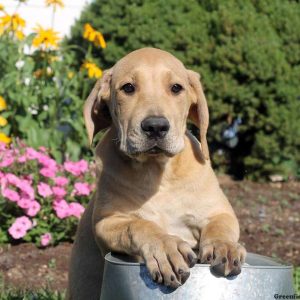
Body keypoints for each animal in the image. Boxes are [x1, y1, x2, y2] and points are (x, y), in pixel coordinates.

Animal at [67, 48, 246, 298]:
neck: (157, 172)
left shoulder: (219, 211)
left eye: (176, 88)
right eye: (128, 88)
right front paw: (165, 247)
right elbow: (137, 225)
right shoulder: (106, 222)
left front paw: (225, 246)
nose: (155, 127)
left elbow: (220, 224)